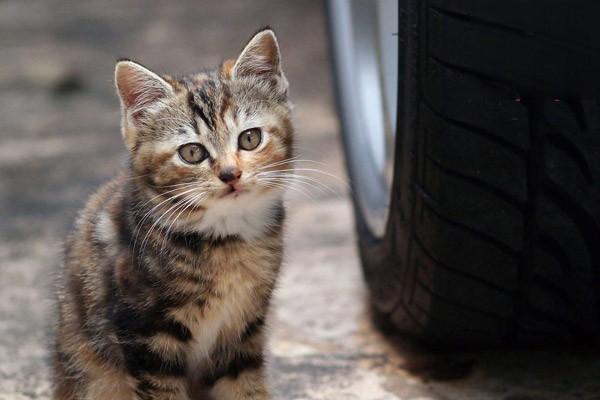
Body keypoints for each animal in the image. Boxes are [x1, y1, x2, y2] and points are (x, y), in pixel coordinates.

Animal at [54, 28, 292, 400]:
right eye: (192, 153)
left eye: (250, 138)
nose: (230, 174)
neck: (226, 240)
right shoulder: (145, 335)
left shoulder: (244, 331)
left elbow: (245, 386)